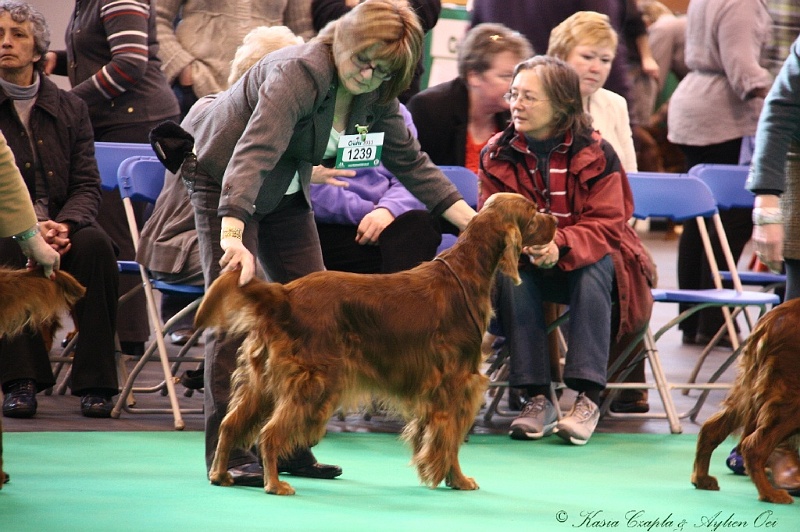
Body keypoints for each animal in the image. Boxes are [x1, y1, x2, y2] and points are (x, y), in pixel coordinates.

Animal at [195, 194, 556, 494]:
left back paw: (222, 474)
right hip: (315, 381)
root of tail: (284, 294)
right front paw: (459, 480)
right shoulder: (457, 384)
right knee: (268, 434)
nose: (554, 219)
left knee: (230, 424)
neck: (466, 272)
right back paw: (275, 484)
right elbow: (449, 439)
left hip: (263, 382)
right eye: (533, 212)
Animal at [692, 298, 800, 504]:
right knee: (753, 446)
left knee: (711, 428)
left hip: (748, 390)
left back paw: (702, 479)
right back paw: (770, 494)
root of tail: (771, 319)